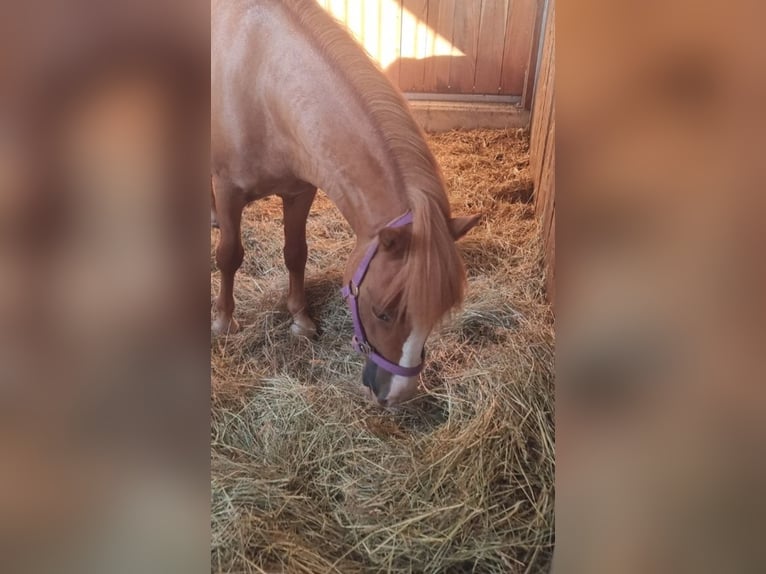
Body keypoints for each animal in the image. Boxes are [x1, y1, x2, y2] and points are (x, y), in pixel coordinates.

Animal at [211, 0, 480, 406]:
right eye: (383, 313)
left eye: (437, 313)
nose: (398, 395)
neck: (262, 84)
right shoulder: (228, 190)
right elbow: (229, 256)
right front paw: (224, 321)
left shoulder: (299, 191)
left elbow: (296, 253)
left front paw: (300, 320)